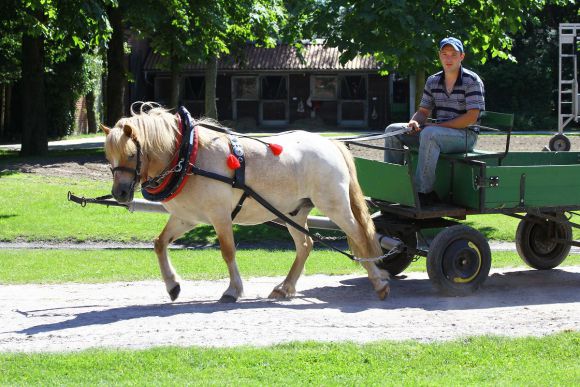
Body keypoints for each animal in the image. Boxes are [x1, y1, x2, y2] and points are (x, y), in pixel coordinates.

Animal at [101, 105, 390, 304]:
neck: (190, 153)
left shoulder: (220, 215)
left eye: (130, 154)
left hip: (334, 205)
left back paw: (378, 281)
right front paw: (173, 285)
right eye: (108, 155)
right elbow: (160, 243)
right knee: (305, 245)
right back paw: (286, 287)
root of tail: (329, 143)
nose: (120, 193)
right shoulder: (187, 217)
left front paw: (233, 290)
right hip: (293, 212)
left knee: (358, 236)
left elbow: (228, 251)